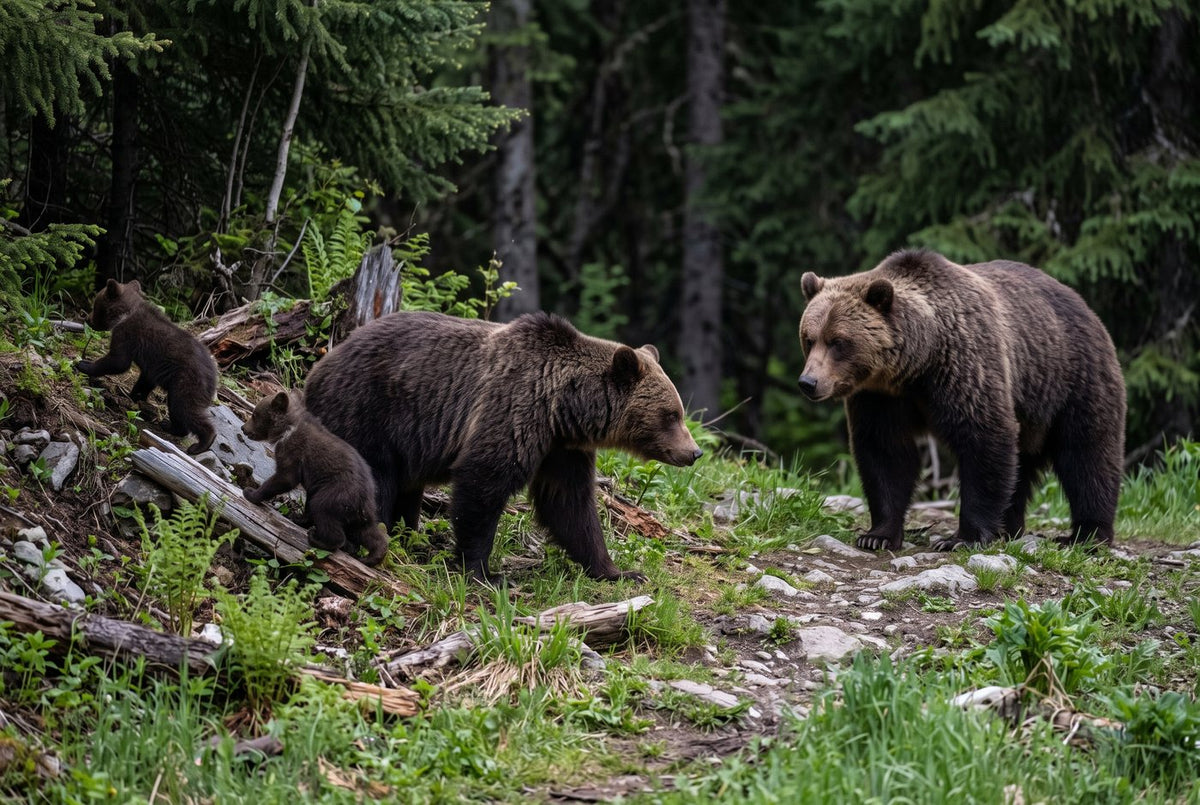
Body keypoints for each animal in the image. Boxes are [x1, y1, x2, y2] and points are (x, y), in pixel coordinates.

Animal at [76, 279, 217, 455]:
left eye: (95, 306)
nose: (87, 318)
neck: (125, 313)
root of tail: (214, 377)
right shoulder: (152, 366)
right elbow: (145, 380)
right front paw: (133, 394)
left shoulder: (126, 333)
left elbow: (118, 361)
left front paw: (84, 364)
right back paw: (169, 425)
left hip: (186, 382)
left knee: (185, 408)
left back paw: (201, 443)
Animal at [241, 390, 389, 566]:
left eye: (255, 414)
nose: (243, 428)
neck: (287, 428)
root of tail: (365, 498)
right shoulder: (313, 480)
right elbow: (307, 499)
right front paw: (299, 517)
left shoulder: (293, 452)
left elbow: (286, 478)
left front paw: (250, 492)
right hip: (358, 512)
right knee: (367, 532)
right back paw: (371, 556)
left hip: (336, 493)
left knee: (323, 510)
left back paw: (318, 539)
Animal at [303, 310, 704, 582]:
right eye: (671, 414)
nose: (694, 453)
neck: (564, 405)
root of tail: (318, 367)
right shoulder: (513, 408)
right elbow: (483, 483)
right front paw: (484, 572)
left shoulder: (561, 448)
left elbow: (569, 504)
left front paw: (618, 570)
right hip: (367, 412)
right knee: (374, 481)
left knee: (404, 488)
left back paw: (408, 537)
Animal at [797, 249, 1125, 552]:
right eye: (809, 338)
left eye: (838, 341)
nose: (808, 382)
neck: (917, 365)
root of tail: (1083, 304)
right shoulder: (879, 397)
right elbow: (885, 452)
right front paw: (877, 535)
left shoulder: (964, 366)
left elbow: (983, 438)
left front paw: (961, 538)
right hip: (1033, 409)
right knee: (1023, 466)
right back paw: (1009, 527)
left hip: (1071, 379)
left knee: (1088, 455)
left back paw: (1087, 535)